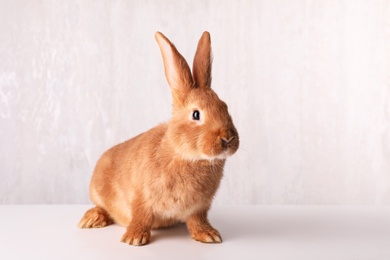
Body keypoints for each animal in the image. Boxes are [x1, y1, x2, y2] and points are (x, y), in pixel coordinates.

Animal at [77, 31, 239, 246]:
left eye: (225, 106)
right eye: (196, 114)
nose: (228, 139)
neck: (184, 155)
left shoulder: (199, 208)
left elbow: (197, 220)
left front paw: (209, 235)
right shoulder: (142, 198)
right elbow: (141, 216)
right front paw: (134, 238)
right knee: (102, 207)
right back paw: (91, 219)